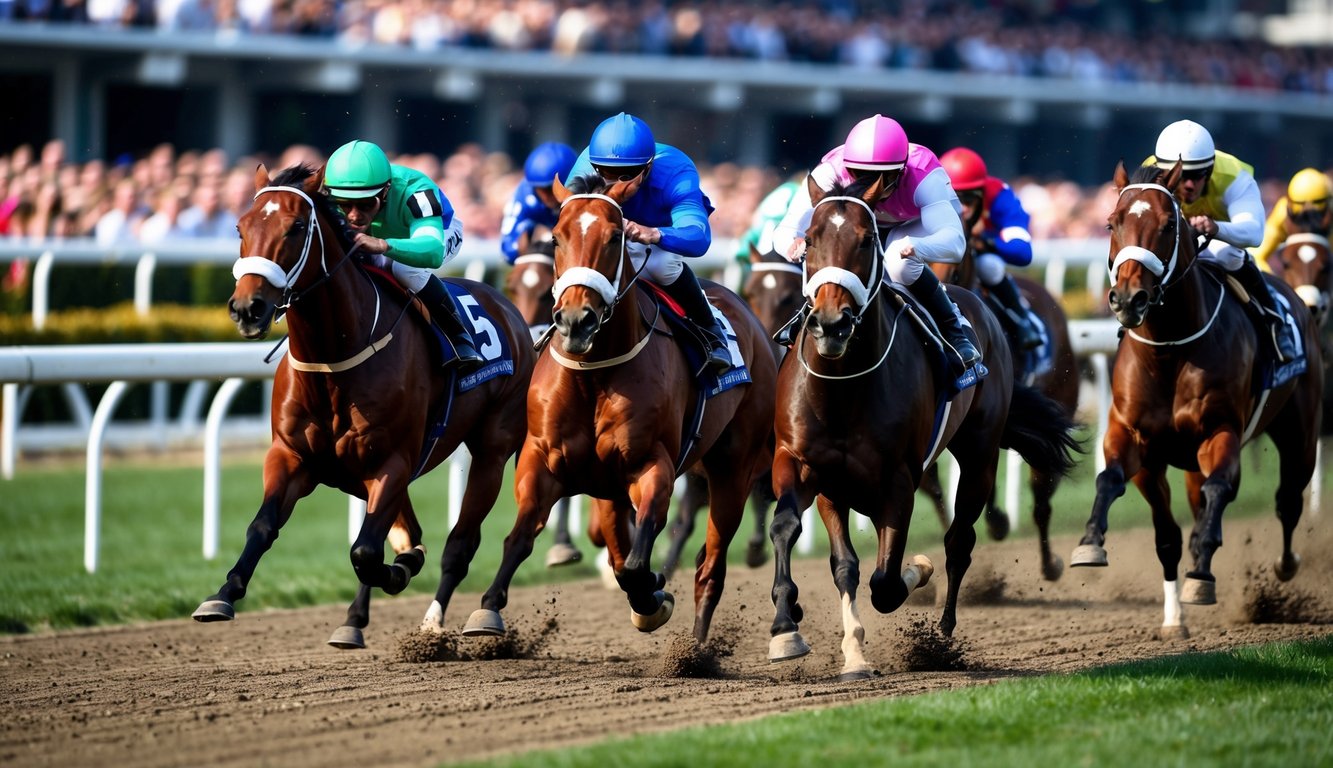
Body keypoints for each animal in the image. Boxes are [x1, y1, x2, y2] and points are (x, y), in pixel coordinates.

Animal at [194, 163, 535, 648]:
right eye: (241, 227)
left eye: (296, 228)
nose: (248, 308)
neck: (334, 358)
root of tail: (507, 307)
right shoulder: (294, 455)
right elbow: (263, 526)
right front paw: (223, 594)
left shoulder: (391, 461)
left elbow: (366, 551)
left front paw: (399, 571)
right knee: (408, 531)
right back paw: (360, 613)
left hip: (491, 448)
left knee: (459, 544)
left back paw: (453, 617)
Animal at [463, 172, 778, 642]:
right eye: (556, 237)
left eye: (615, 237)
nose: (576, 321)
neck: (593, 371)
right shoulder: (542, 458)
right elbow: (521, 537)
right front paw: (487, 609)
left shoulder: (651, 463)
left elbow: (637, 557)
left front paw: (653, 593)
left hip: (732, 466)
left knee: (711, 562)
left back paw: (697, 645)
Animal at [1066, 160, 1317, 634]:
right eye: (1111, 222)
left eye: (1168, 224)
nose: (1128, 299)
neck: (1170, 350)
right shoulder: (1136, 441)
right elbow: (1133, 503)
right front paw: (1091, 544)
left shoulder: (1220, 433)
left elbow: (1218, 492)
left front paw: (1201, 575)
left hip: (1299, 432)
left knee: (1288, 498)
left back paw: (1287, 564)